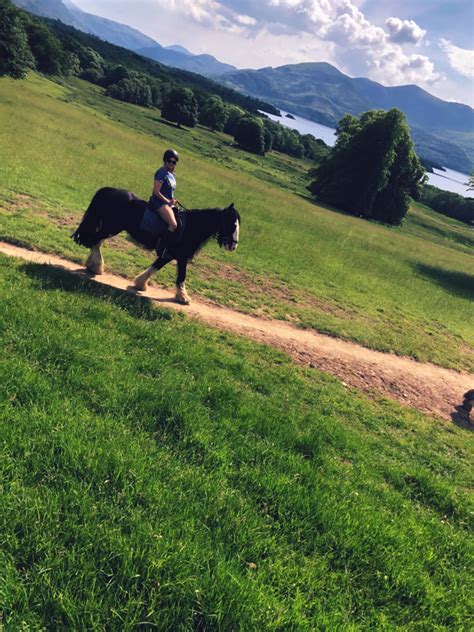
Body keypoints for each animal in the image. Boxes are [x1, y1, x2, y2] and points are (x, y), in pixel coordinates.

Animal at [70, 186, 241, 304]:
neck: (193, 226)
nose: (233, 247)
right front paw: (183, 297)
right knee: (94, 241)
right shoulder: (182, 256)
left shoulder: (169, 254)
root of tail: (109, 190)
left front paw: (140, 284)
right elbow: (182, 275)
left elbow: (156, 266)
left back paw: (93, 266)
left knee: (96, 242)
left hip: (109, 227)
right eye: (232, 225)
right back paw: (96, 267)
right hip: (111, 227)